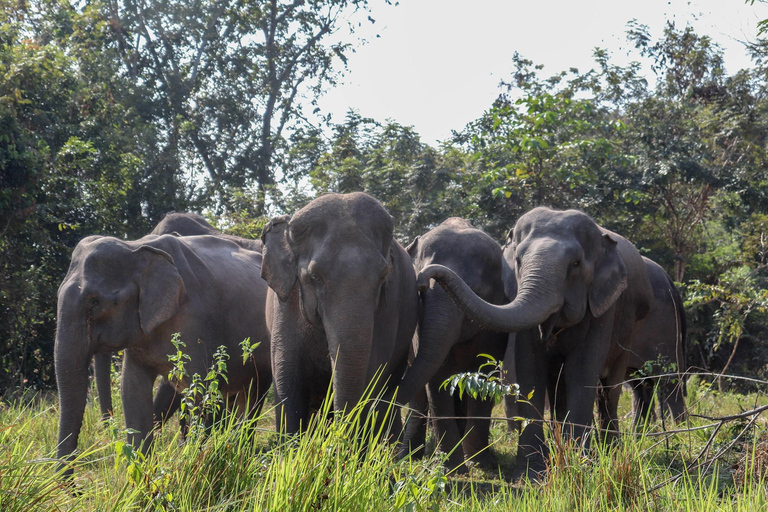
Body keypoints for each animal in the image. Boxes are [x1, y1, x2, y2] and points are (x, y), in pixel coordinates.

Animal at [54, 232, 270, 476]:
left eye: (95, 302)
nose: (72, 486)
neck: (137, 247)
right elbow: (132, 389)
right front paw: (140, 477)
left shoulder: (198, 322)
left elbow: (203, 391)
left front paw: (193, 466)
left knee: (253, 397)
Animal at [262, 192, 420, 436]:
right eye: (315, 278)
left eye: (383, 277)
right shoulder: (285, 303)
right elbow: (288, 380)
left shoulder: (389, 307)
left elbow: (372, 373)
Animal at [396, 218, 510, 474]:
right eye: (420, 292)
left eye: (476, 291)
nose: (422, 278)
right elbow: (437, 378)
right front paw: (453, 468)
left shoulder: (495, 325)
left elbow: (485, 374)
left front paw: (482, 464)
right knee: (418, 391)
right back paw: (408, 455)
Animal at [416, 207, 652, 480]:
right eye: (518, 260)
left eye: (576, 264)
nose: (421, 279)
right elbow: (530, 369)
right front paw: (531, 473)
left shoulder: (603, 308)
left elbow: (581, 371)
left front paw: (577, 467)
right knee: (560, 389)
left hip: (629, 327)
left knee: (609, 389)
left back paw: (610, 451)